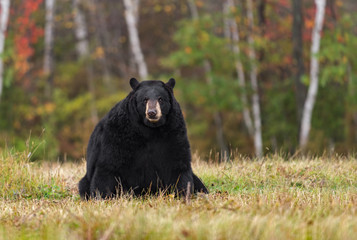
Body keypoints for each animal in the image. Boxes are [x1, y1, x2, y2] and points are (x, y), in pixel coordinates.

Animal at [77, 77, 206, 199]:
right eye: (145, 100)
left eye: (160, 99)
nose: (152, 113)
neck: (151, 129)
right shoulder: (118, 133)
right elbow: (108, 165)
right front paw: (104, 197)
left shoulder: (174, 132)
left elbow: (178, 164)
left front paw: (183, 194)